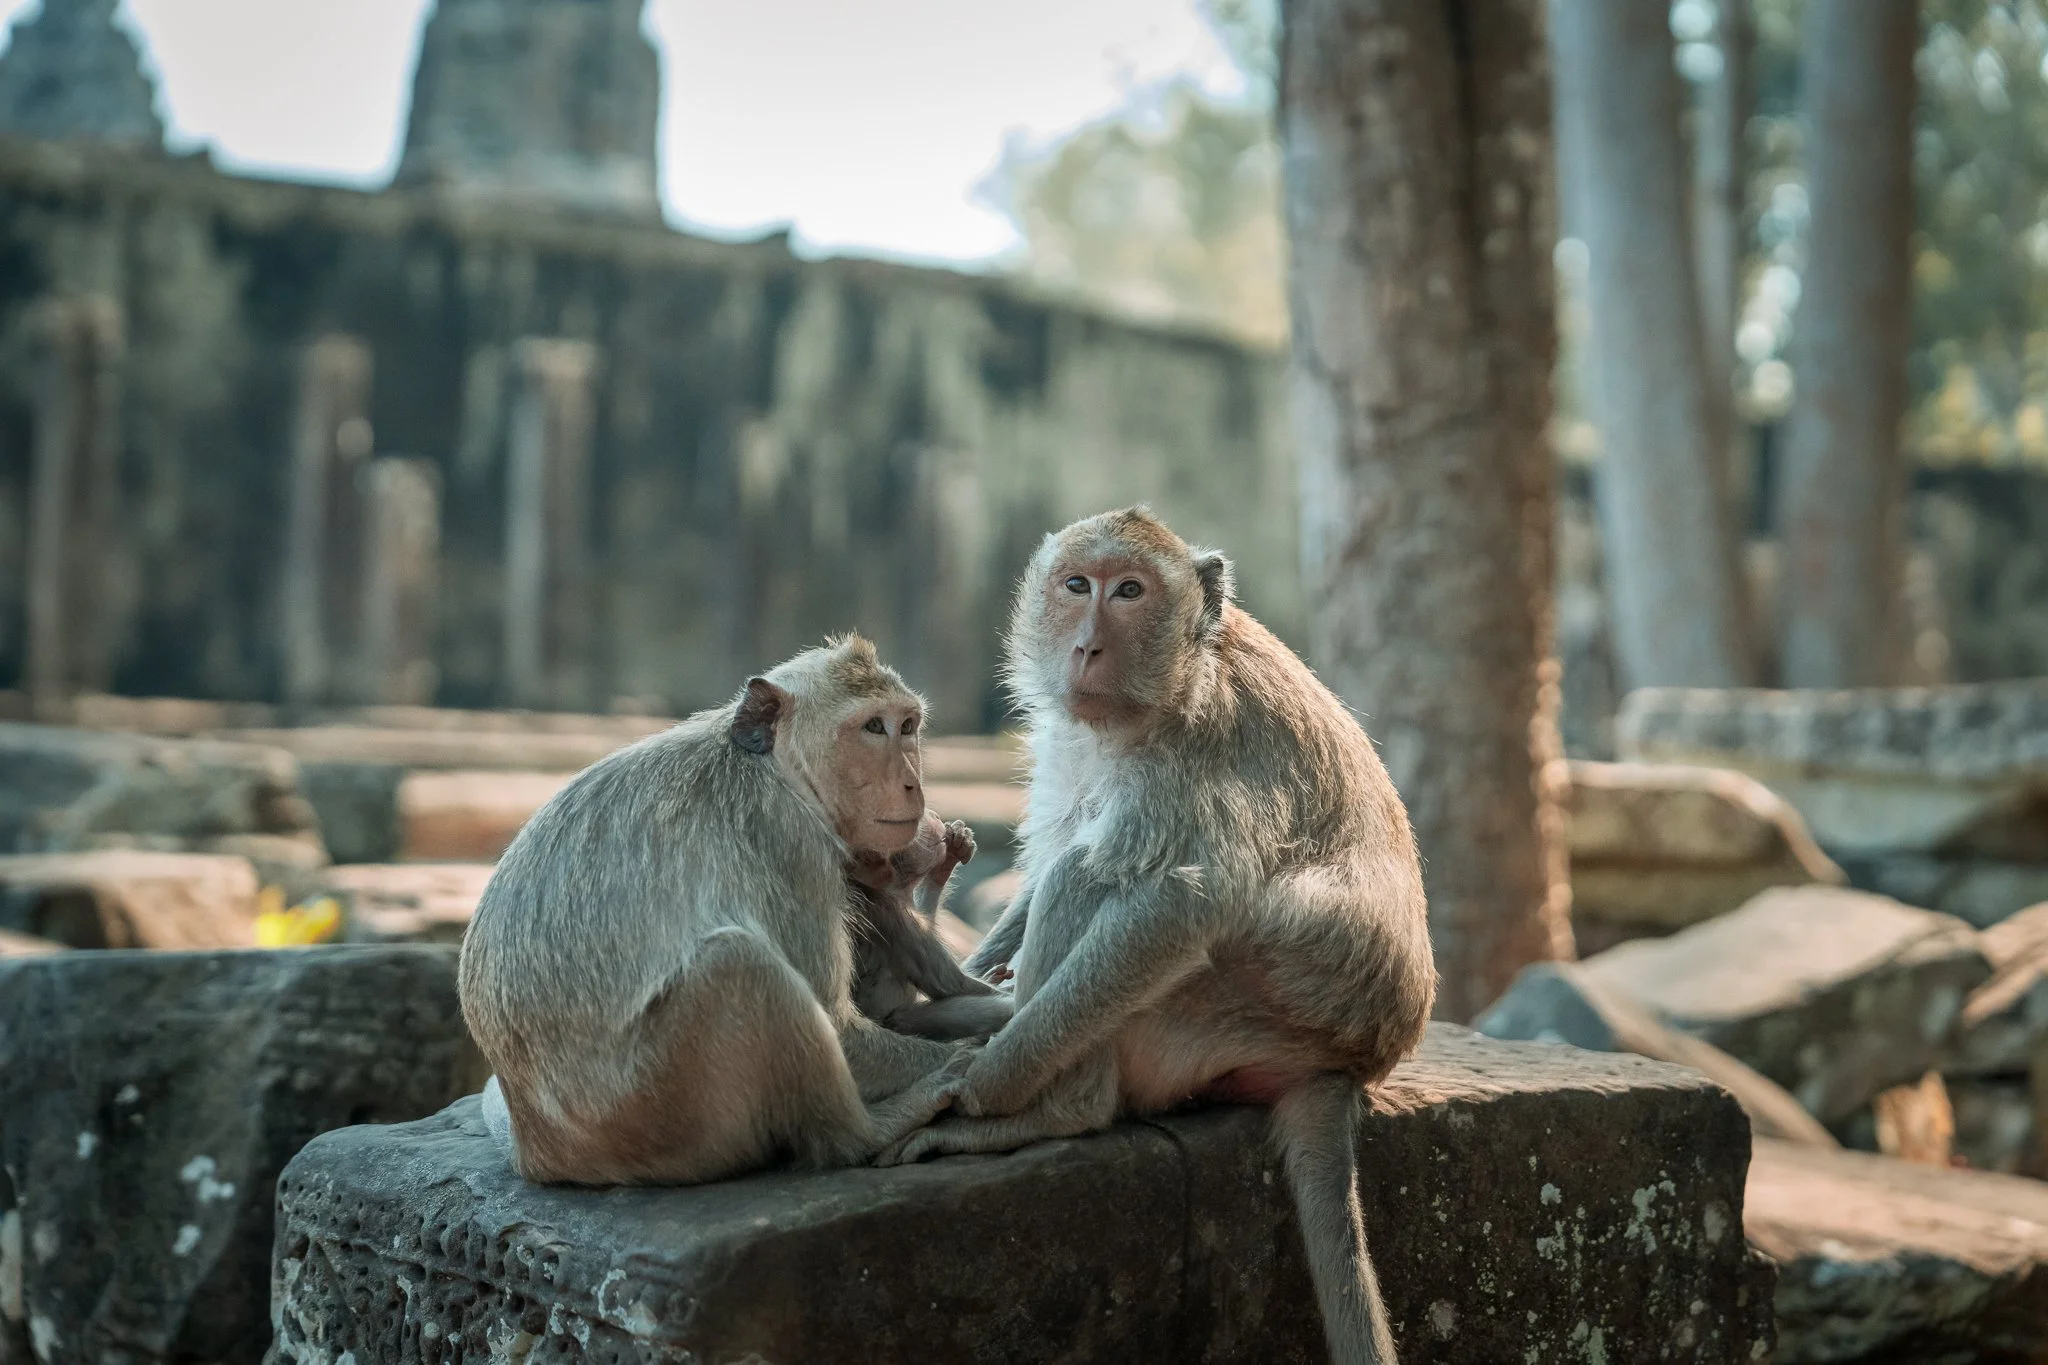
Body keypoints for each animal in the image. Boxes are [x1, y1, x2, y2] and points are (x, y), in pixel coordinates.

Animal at [459, 635, 978, 1187]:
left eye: (908, 726)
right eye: (873, 727)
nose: (912, 783)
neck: (776, 769)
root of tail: (538, 1148)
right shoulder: (790, 840)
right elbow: (840, 1027)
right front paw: (971, 1049)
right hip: (657, 1113)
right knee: (739, 965)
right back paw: (864, 1134)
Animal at [876, 508, 1436, 1365]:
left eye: (1129, 592)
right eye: (1078, 585)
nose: (1086, 646)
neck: (1165, 685)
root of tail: (1344, 1067)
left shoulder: (1198, 752)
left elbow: (1179, 905)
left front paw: (982, 1086)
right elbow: (1055, 848)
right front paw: (969, 981)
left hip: (1214, 1022)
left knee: (1091, 880)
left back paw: (1054, 1105)